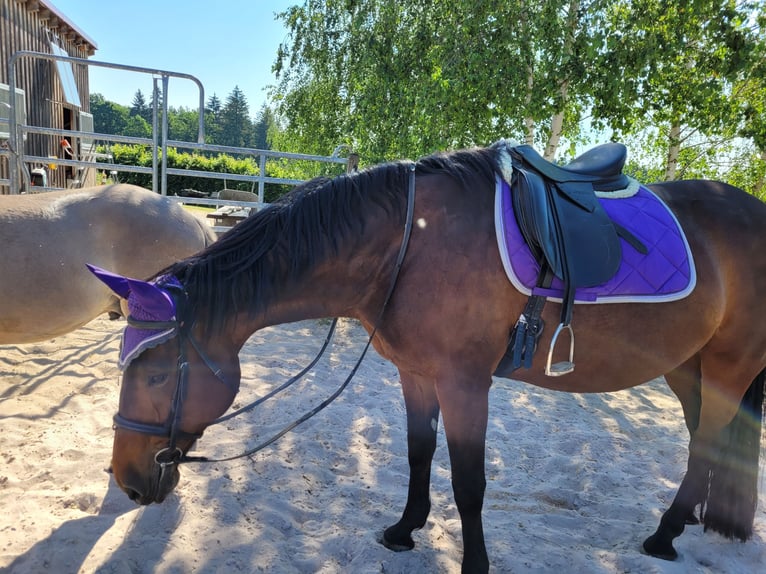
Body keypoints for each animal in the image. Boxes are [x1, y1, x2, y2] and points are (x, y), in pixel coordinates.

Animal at [91, 146, 766, 572]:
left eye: (155, 372)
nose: (126, 481)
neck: (406, 244)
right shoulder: (416, 374)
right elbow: (419, 455)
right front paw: (404, 530)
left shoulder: (465, 384)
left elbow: (469, 482)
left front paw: (474, 564)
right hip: (686, 366)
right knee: (704, 442)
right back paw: (681, 527)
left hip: (728, 366)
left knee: (710, 442)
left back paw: (664, 534)